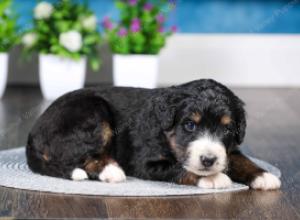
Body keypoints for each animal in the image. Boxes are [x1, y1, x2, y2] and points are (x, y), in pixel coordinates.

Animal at [25, 79, 282, 191]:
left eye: (227, 128)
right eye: (190, 125)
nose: (209, 160)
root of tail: (33, 132)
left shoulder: (228, 149)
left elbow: (240, 159)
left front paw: (263, 176)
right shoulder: (145, 163)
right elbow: (180, 168)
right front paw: (213, 178)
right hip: (94, 114)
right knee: (82, 158)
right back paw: (112, 171)